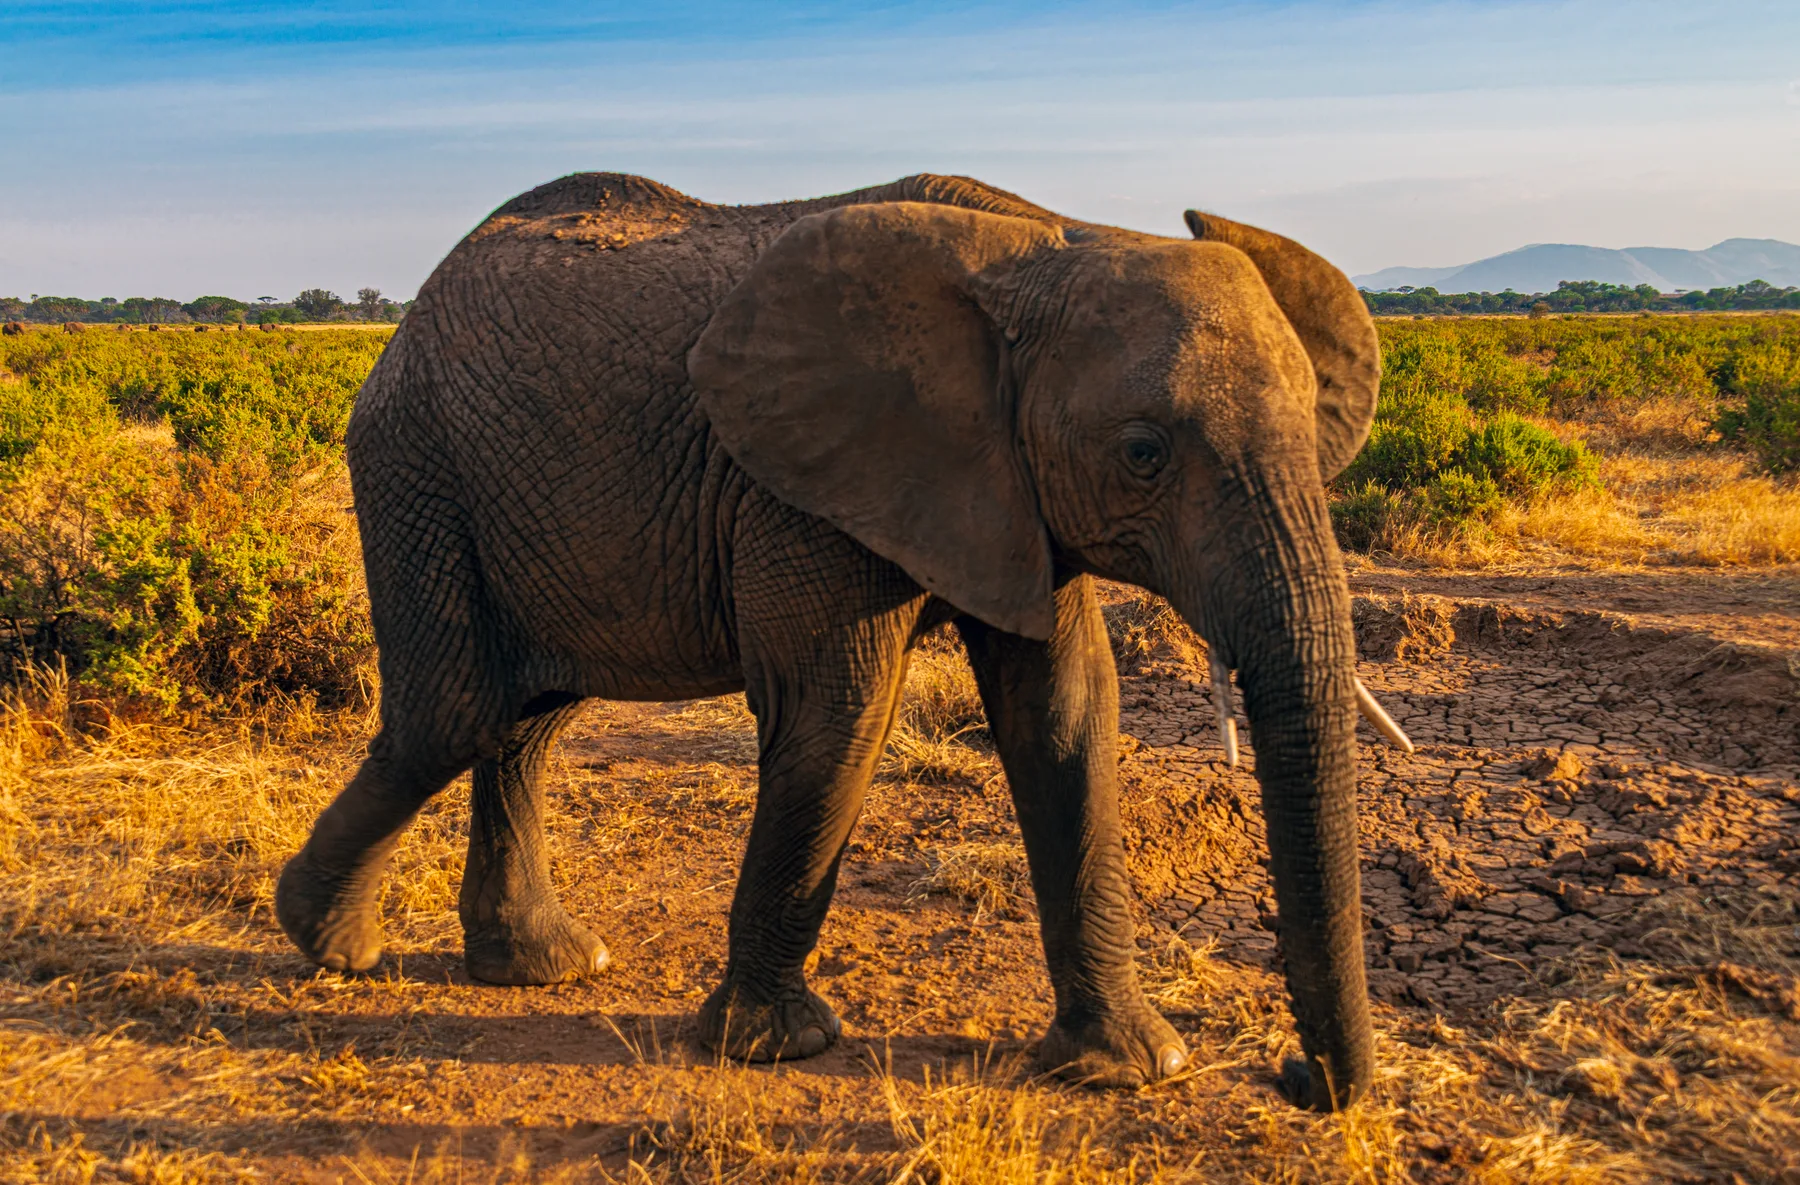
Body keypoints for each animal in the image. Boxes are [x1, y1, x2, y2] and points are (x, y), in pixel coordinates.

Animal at [274, 171, 1386, 1108]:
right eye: (1144, 453)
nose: (1297, 1075)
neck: (1047, 242)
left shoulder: (1013, 491)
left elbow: (1066, 715)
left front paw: (1130, 1069)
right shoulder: (803, 492)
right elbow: (840, 711)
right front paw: (775, 1047)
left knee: (526, 720)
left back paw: (536, 966)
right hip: (416, 465)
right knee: (456, 711)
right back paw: (329, 944)